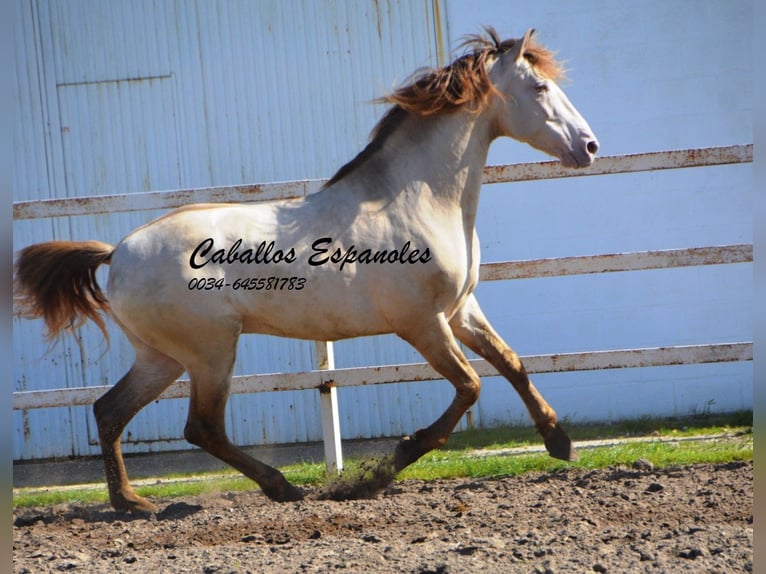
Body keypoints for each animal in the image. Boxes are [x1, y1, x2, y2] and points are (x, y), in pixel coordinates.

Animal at [13, 27, 600, 516]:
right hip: (209, 352)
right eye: (541, 87)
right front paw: (381, 470)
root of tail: (116, 253)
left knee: (110, 411)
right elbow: (470, 387)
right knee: (201, 426)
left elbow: (512, 363)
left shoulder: (460, 312)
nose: (590, 147)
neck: (416, 199)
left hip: (162, 357)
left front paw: (560, 442)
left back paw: (132, 503)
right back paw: (282, 488)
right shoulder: (422, 324)